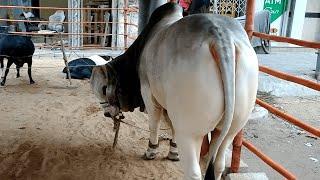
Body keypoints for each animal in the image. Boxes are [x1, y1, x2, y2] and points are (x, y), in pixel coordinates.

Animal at [89, 2, 258, 180]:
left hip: (190, 133)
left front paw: (151, 151)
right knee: (218, 164)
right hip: (232, 128)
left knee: (193, 172)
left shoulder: (148, 93)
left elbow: (154, 123)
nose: (107, 114)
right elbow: (171, 127)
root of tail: (220, 36)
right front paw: (173, 152)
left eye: (103, 89)